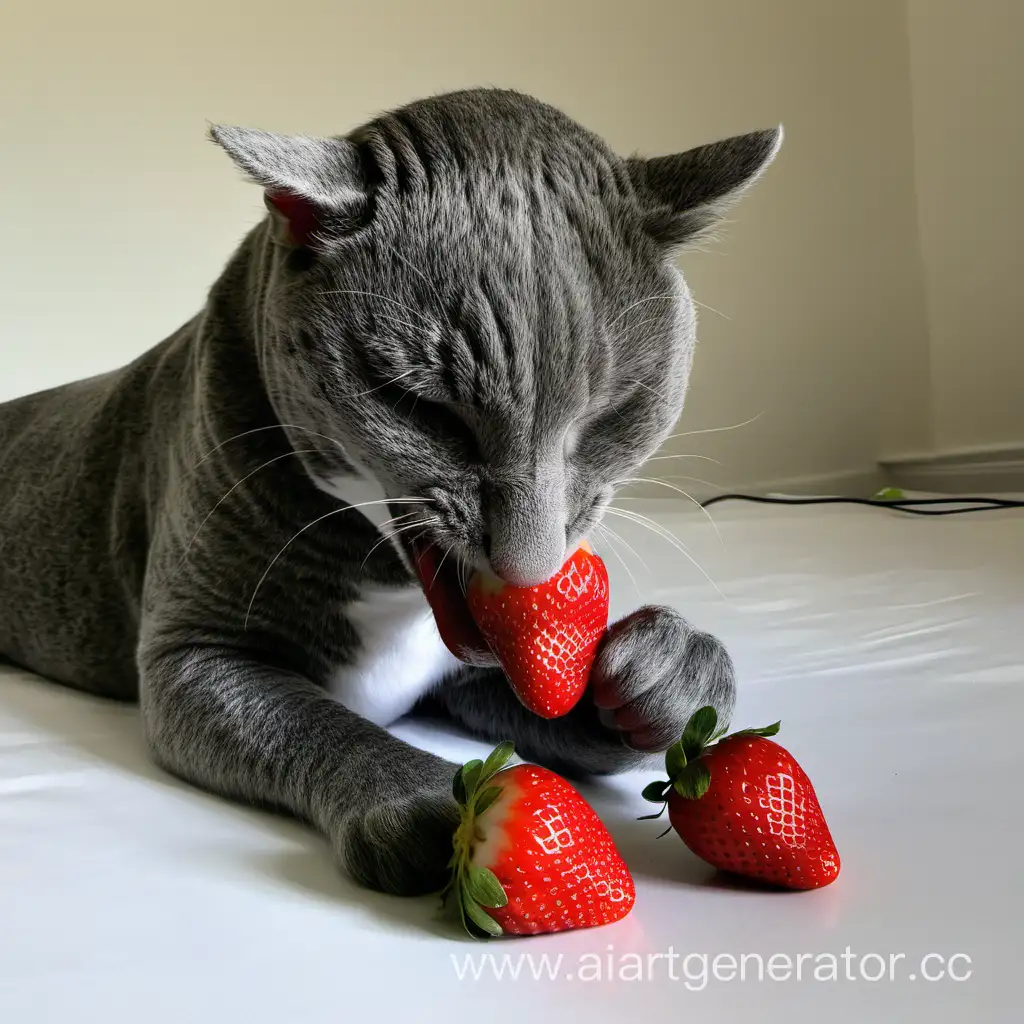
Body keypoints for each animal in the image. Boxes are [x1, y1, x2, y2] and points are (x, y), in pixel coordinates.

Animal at [0, 92, 778, 901]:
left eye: (615, 413)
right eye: (422, 407)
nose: (529, 567)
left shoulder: (469, 675)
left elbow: (554, 699)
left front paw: (667, 670)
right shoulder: (192, 653)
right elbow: (315, 720)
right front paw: (435, 804)